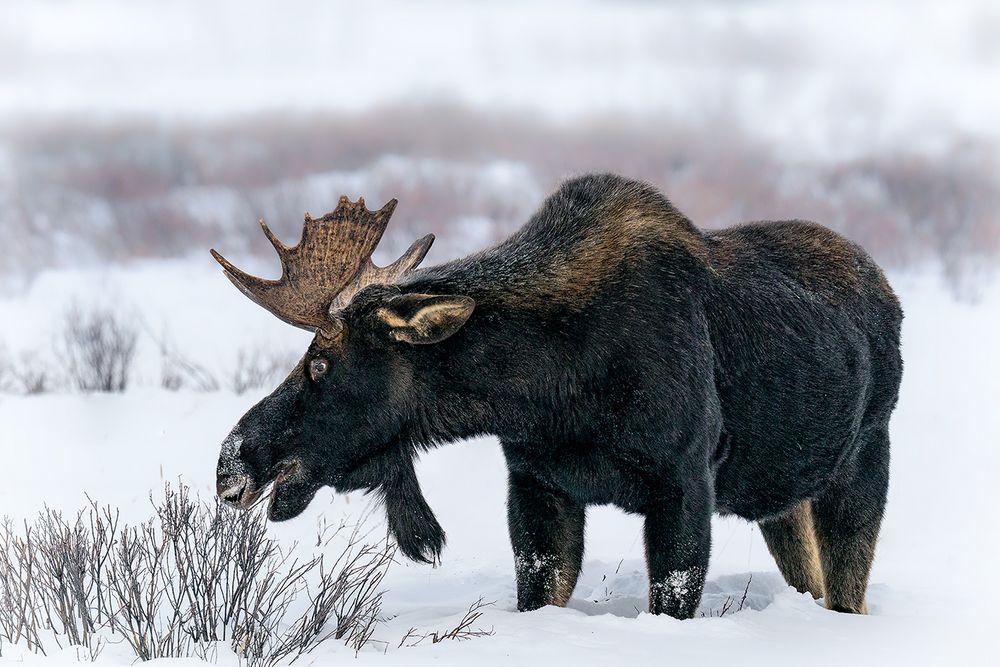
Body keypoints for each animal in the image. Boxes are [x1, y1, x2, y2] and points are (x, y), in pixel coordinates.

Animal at [215, 174, 904, 620]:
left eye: (320, 362)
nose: (230, 463)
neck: (552, 387)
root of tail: (888, 293)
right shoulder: (537, 481)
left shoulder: (684, 481)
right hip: (782, 498)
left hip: (865, 458)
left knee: (848, 589)